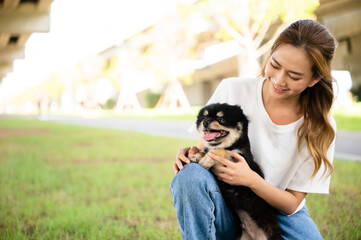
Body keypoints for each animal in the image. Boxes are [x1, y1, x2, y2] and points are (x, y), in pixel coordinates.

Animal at [188, 102, 282, 240]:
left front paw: (207, 158)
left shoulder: (239, 159)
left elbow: (221, 151)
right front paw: (198, 155)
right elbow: (207, 150)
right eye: (203, 118)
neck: (232, 144)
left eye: (221, 119)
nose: (206, 122)